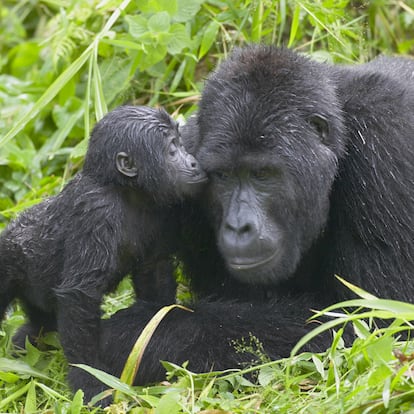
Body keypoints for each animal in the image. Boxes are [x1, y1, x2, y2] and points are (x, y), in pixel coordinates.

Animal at [0, 105, 207, 402]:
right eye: (171, 149)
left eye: (180, 142)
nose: (192, 162)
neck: (124, 190)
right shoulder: (97, 212)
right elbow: (80, 295)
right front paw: (89, 379)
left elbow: (154, 274)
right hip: (8, 257)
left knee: (42, 321)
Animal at [96, 47, 414, 390]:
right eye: (222, 176)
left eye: (262, 174)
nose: (239, 227)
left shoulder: (384, 143)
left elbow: (373, 323)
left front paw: (140, 332)